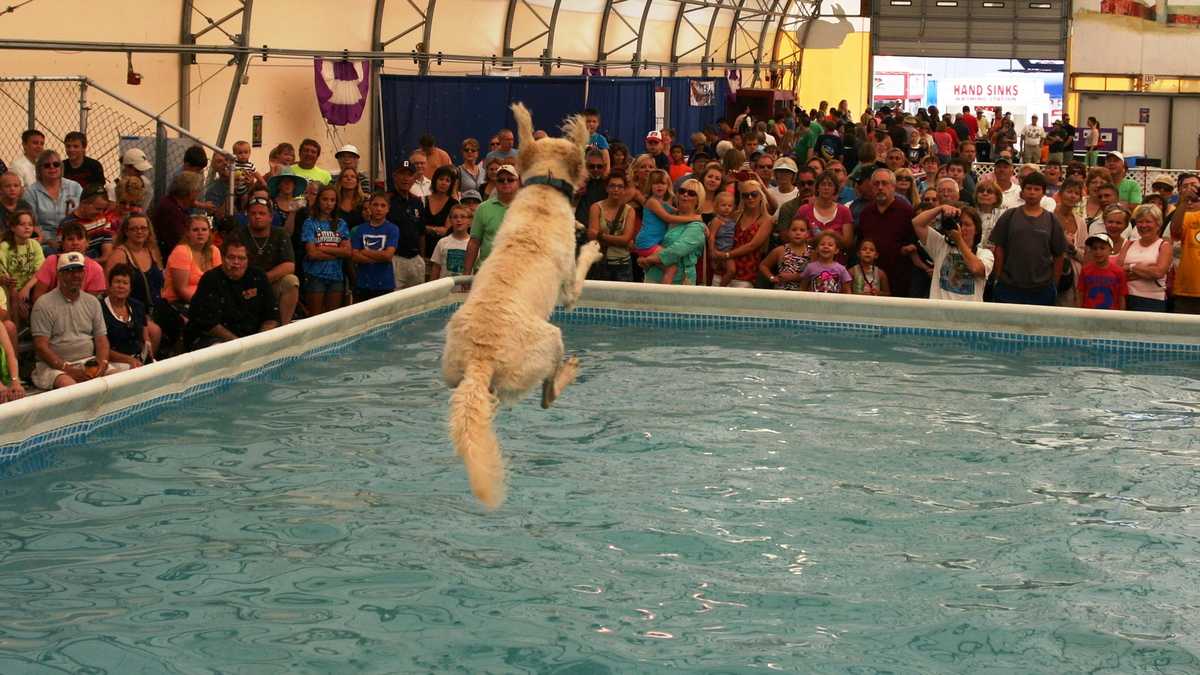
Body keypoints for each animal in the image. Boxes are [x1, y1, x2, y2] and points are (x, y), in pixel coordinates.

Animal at [444, 102, 600, 506]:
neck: (545, 185)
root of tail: (481, 357)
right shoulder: (569, 290)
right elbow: (578, 275)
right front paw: (591, 246)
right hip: (551, 339)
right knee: (546, 396)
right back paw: (568, 372)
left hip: (451, 367)